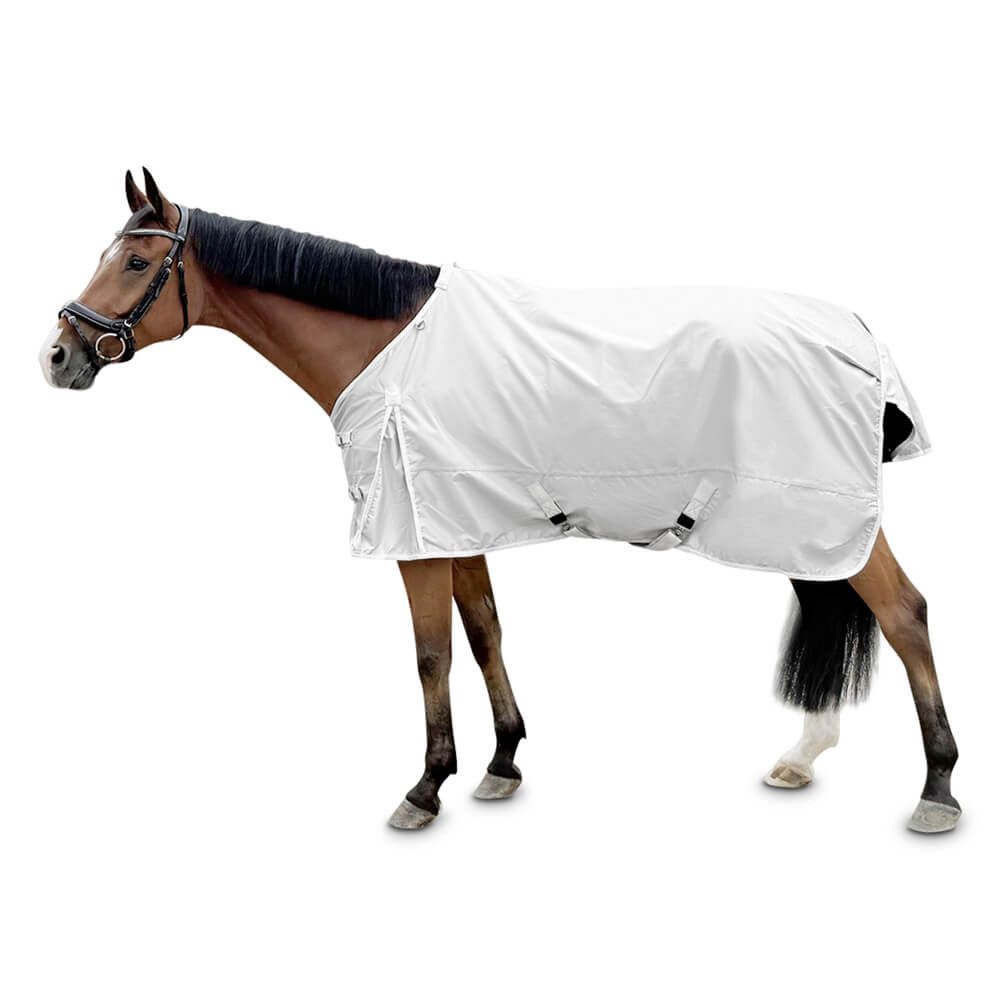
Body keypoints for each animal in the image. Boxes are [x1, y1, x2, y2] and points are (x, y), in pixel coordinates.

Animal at [39, 169, 960, 833]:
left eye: (134, 262)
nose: (57, 356)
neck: (389, 346)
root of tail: (859, 331)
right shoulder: (456, 521)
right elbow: (484, 632)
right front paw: (502, 764)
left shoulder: (412, 536)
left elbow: (430, 655)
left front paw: (424, 787)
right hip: (807, 526)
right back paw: (804, 755)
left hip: (820, 514)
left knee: (904, 613)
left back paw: (938, 790)